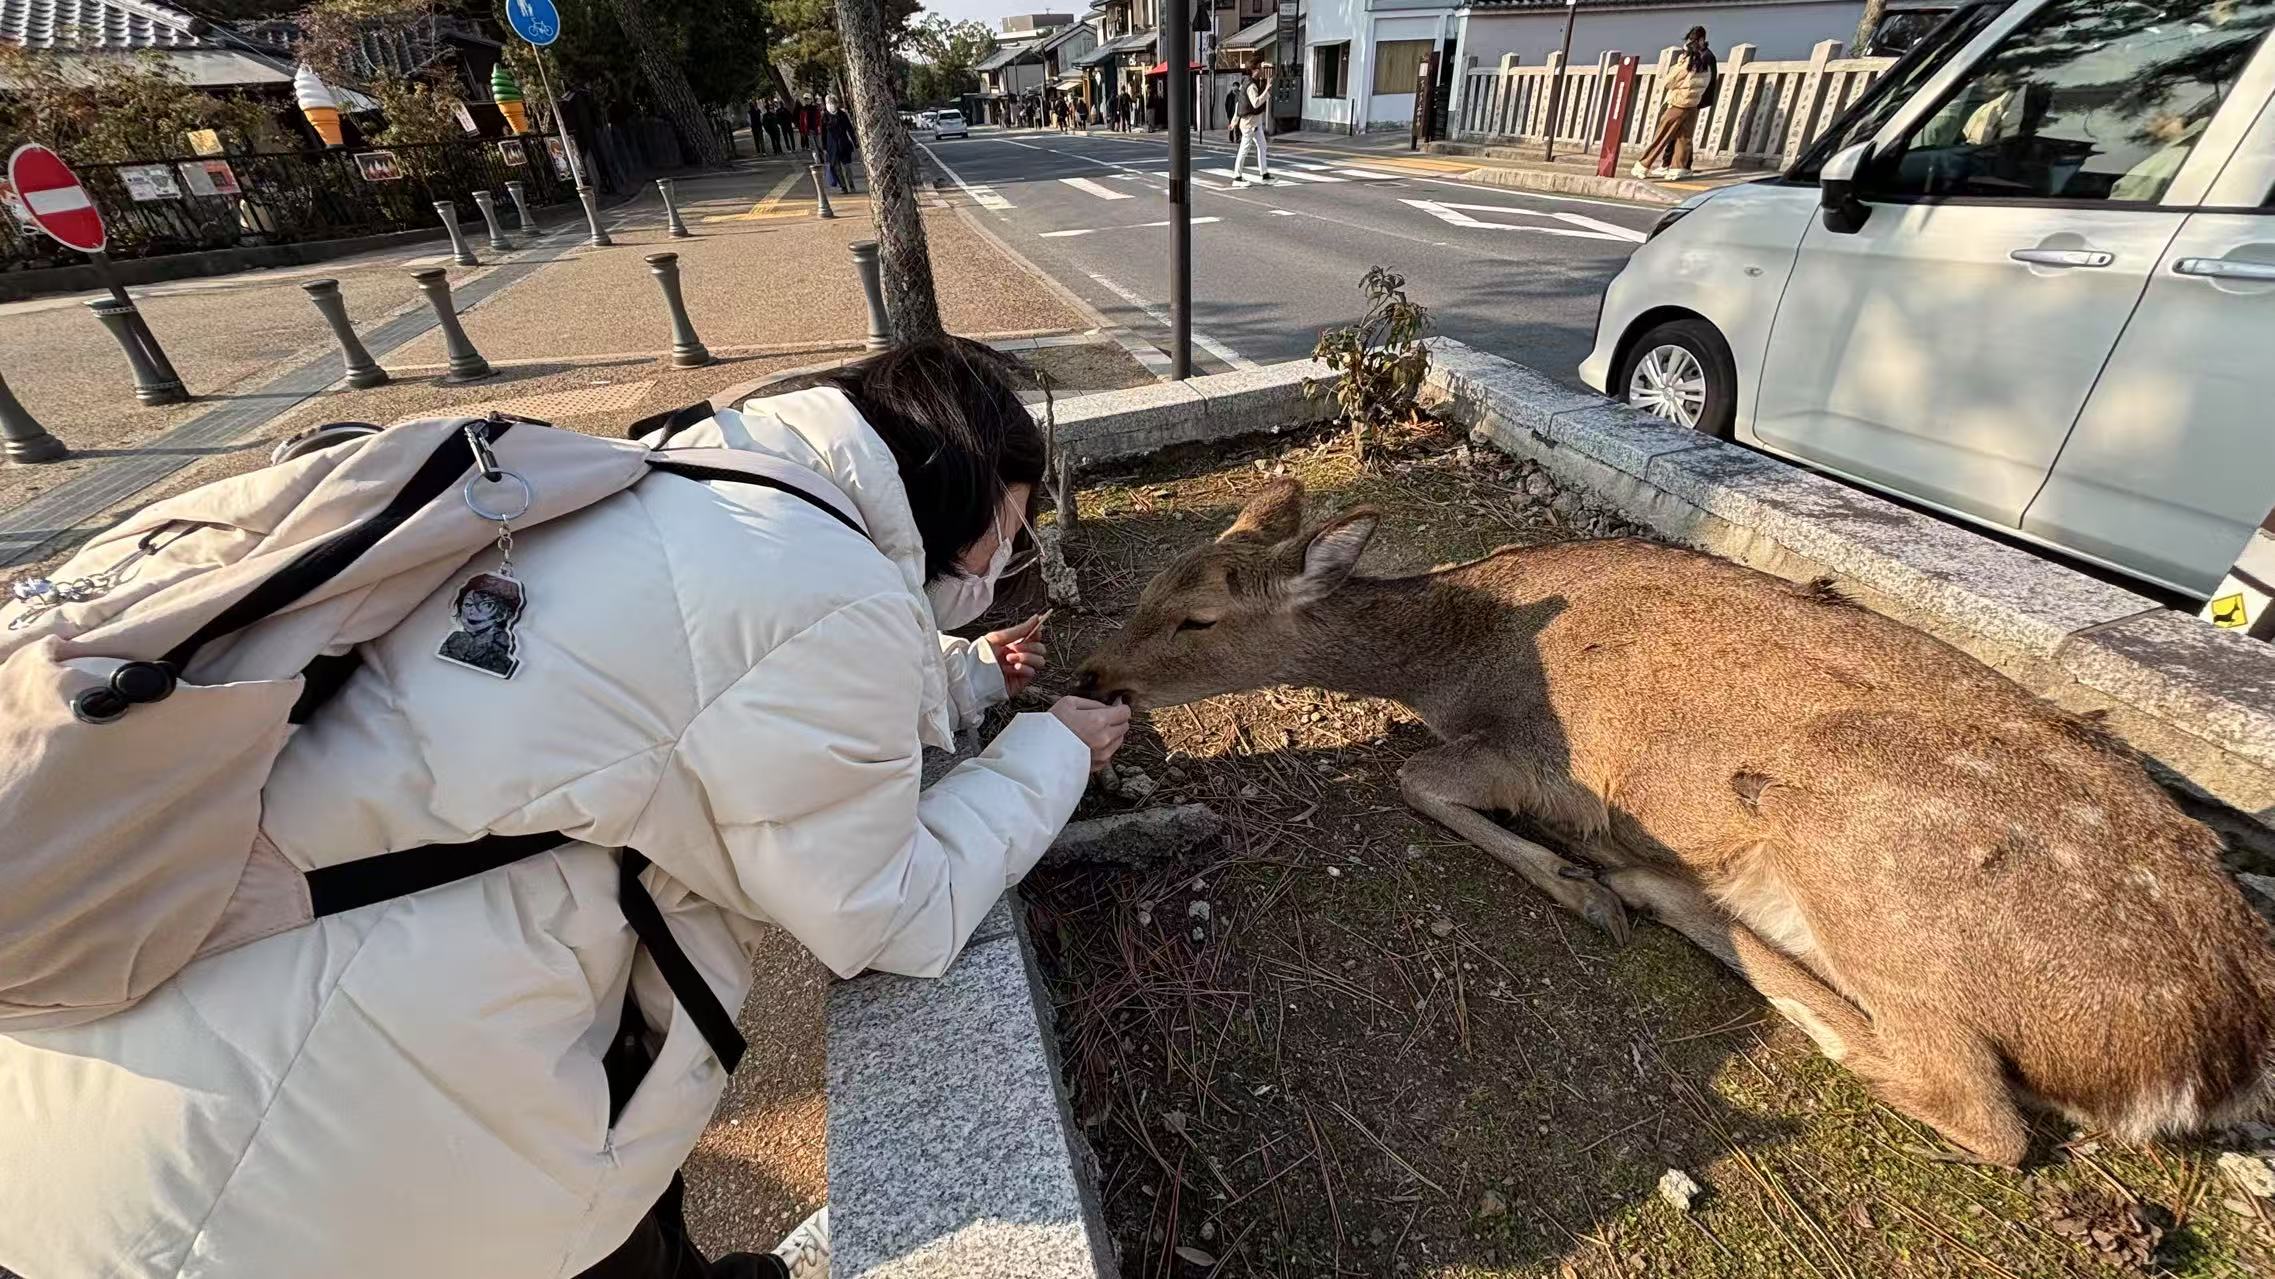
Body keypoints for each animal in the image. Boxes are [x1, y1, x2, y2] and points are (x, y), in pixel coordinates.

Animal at [1075, 479, 2275, 1167]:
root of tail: (2209, 1048)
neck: (1459, 660)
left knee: (1981, 1111)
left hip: (1869, 856)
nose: (1092, 672)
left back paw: (1654, 889)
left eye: (1195, 617)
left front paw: (1576, 885)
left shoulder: (1546, 759)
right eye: (1151, 583)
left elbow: (1413, 780)